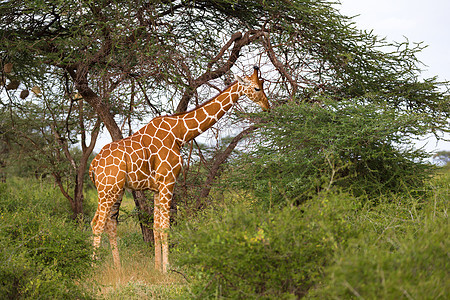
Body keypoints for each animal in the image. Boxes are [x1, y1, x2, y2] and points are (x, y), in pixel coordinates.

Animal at [89, 65, 268, 272]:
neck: (179, 134)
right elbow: (166, 227)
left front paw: (157, 267)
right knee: (97, 224)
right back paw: (93, 268)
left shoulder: (157, 187)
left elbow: (157, 227)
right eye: (256, 88)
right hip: (107, 190)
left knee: (110, 225)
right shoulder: (168, 181)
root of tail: (93, 164)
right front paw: (167, 269)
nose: (267, 106)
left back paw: (118, 269)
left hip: (115, 191)